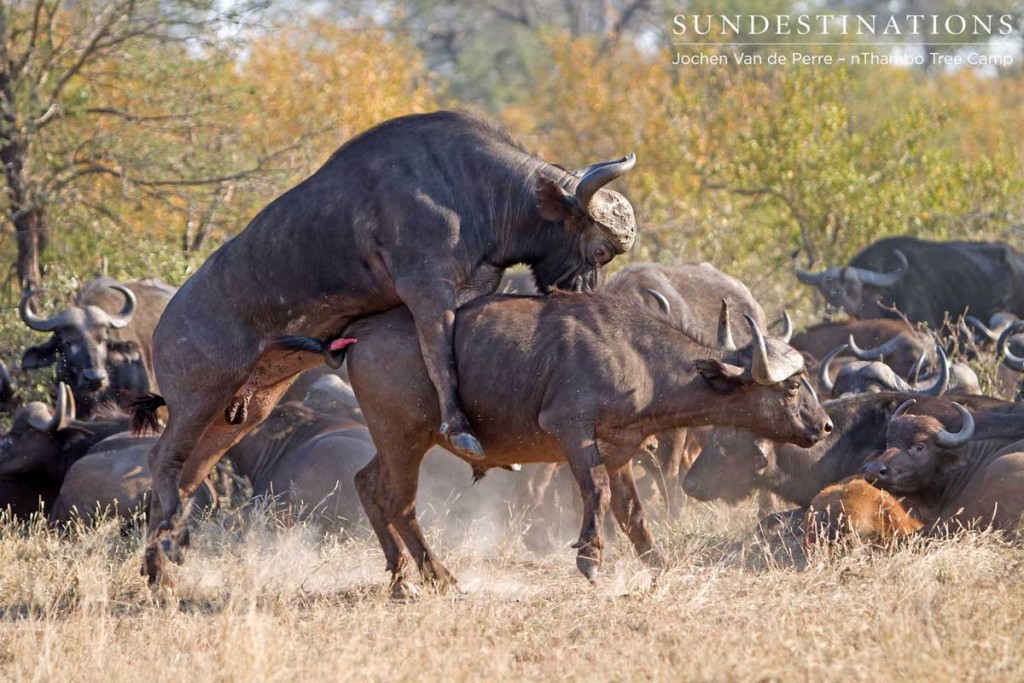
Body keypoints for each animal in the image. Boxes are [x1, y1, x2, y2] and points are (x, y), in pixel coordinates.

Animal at [135, 109, 630, 585]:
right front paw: (461, 430)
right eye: (600, 251)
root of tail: (164, 326)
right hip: (198, 400)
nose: (584, 295)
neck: (473, 188)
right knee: (162, 460)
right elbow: (441, 358)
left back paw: (160, 571)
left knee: (187, 475)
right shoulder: (427, 289)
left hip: (242, 412)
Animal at [339, 290, 835, 593]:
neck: (637, 358)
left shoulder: (620, 451)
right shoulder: (572, 431)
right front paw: (590, 556)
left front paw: (658, 564)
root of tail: (358, 337)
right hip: (404, 438)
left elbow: (632, 512)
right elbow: (595, 491)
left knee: (367, 485)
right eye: (792, 387)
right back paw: (438, 576)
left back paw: (400, 580)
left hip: (395, 442)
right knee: (400, 503)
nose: (826, 426)